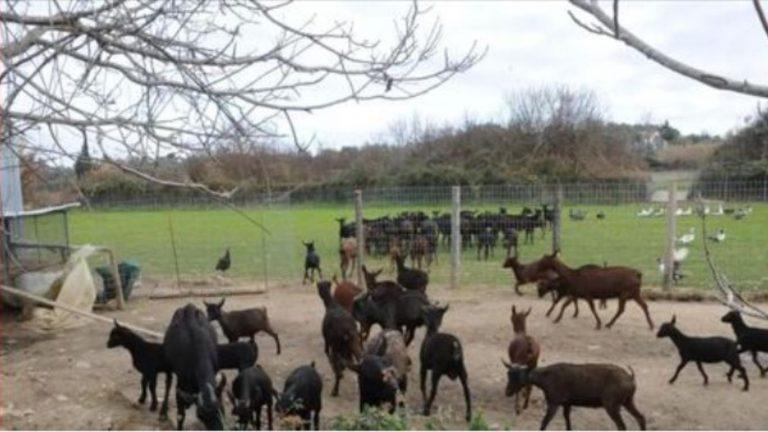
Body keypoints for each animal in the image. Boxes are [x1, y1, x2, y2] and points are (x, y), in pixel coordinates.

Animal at [500, 362, 644, 430]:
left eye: (519, 377)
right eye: (509, 374)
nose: (507, 392)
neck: (546, 380)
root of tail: (631, 378)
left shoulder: (554, 402)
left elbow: (544, 422)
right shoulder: (567, 403)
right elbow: (567, 421)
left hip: (612, 405)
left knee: (622, 426)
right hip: (628, 401)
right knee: (640, 417)